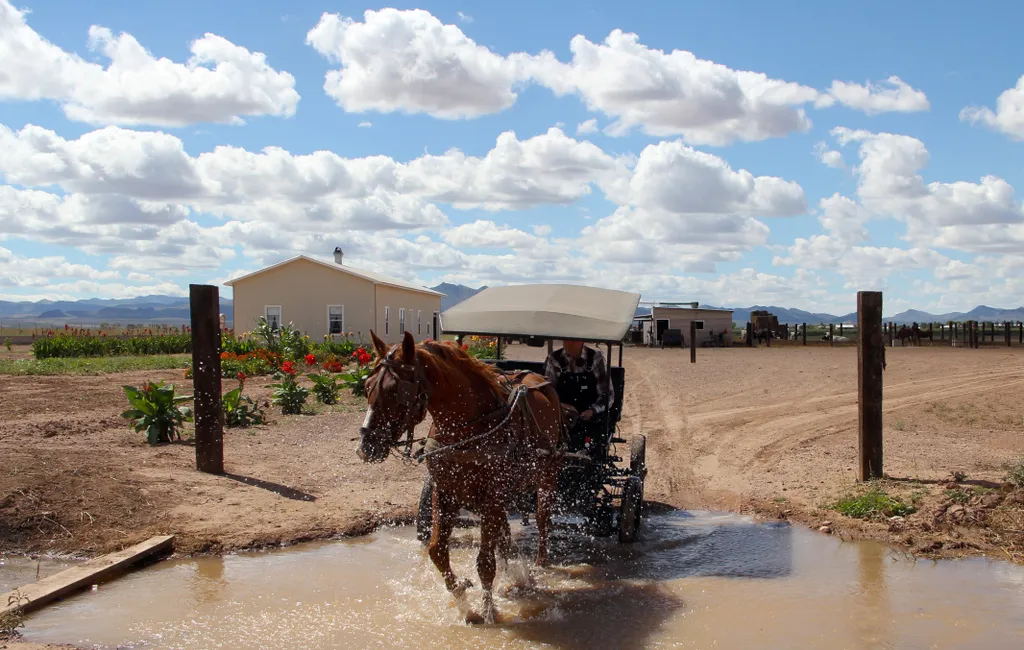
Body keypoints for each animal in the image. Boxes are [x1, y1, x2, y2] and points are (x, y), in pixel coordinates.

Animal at [352, 333, 561, 622]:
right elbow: (437, 551)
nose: (366, 447)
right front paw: (464, 600)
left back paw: (540, 562)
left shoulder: (491, 497)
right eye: (366, 386)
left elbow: (485, 563)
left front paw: (488, 611)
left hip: (546, 476)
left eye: (395, 390)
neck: (467, 427)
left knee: (542, 518)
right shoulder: (445, 492)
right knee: (504, 536)